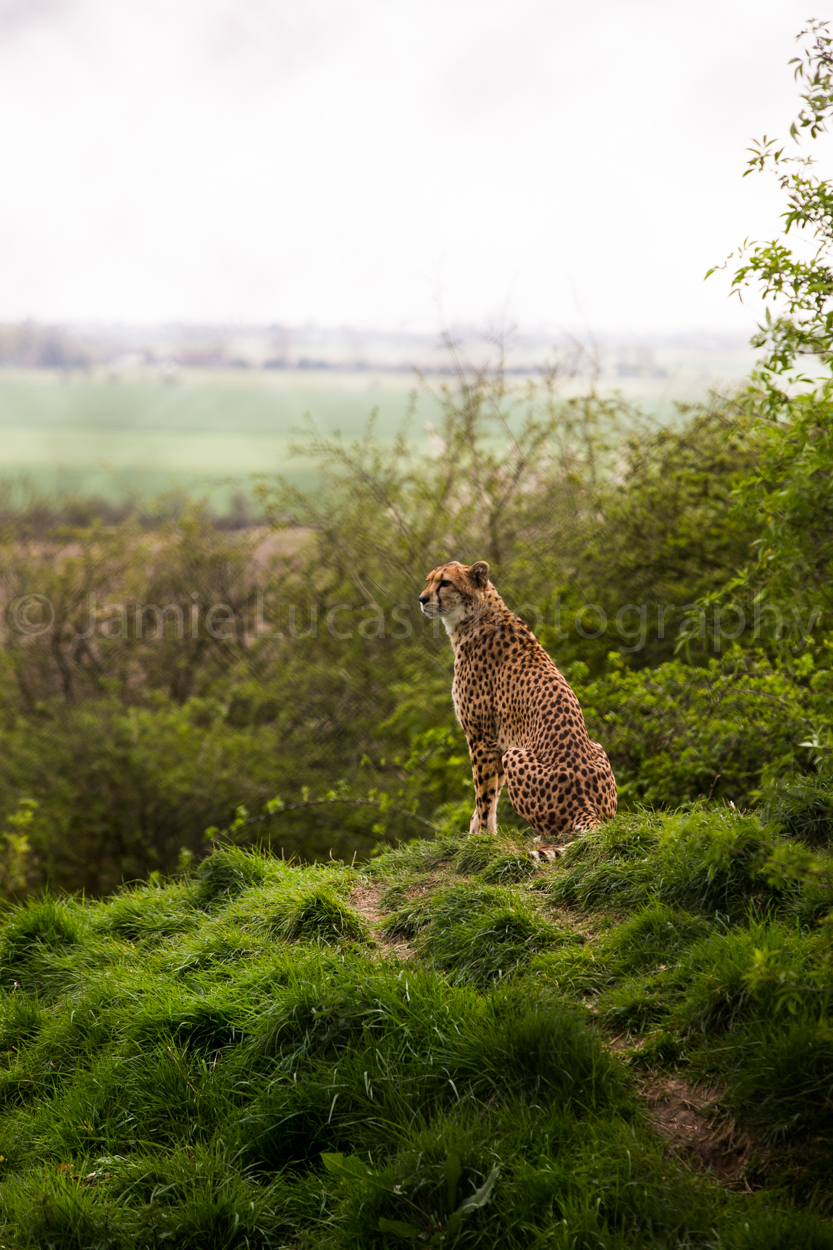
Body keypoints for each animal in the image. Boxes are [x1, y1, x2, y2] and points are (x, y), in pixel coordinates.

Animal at [419, 559, 617, 850]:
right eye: (429, 580)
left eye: (445, 583)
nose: (422, 599)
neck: (474, 616)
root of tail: (586, 803)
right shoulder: (500, 739)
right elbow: (490, 792)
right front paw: (477, 832)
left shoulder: (482, 737)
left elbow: (484, 795)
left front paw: (481, 839)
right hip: (595, 750)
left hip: (516, 755)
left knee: (558, 830)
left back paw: (539, 837)